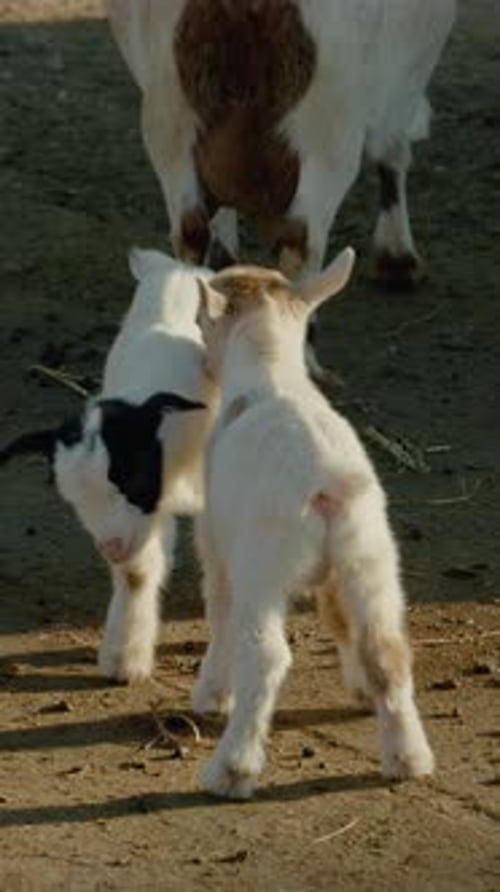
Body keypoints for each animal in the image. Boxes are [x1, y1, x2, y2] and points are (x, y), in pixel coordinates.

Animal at [0, 250, 217, 683]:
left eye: (132, 477)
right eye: (72, 501)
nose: (110, 548)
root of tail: (178, 268)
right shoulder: (146, 515)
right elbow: (136, 574)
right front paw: (124, 659)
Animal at [106, 0, 455, 286]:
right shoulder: (405, 76)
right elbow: (393, 151)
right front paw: (398, 257)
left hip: (169, 118)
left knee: (190, 231)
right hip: (328, 123)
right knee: (300, 241)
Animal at [192, 247, 434, 798]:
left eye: (199, 322)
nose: (200, 364)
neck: (272, 375)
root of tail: (327, 480)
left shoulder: (217, 545)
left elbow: (218, 613)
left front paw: (212, 694)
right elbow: (340, 621)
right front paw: (361, 690)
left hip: (264, 565)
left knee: (265, 655)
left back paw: (231, 769)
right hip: (370, 557)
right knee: (386, 648)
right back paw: (407, 758)